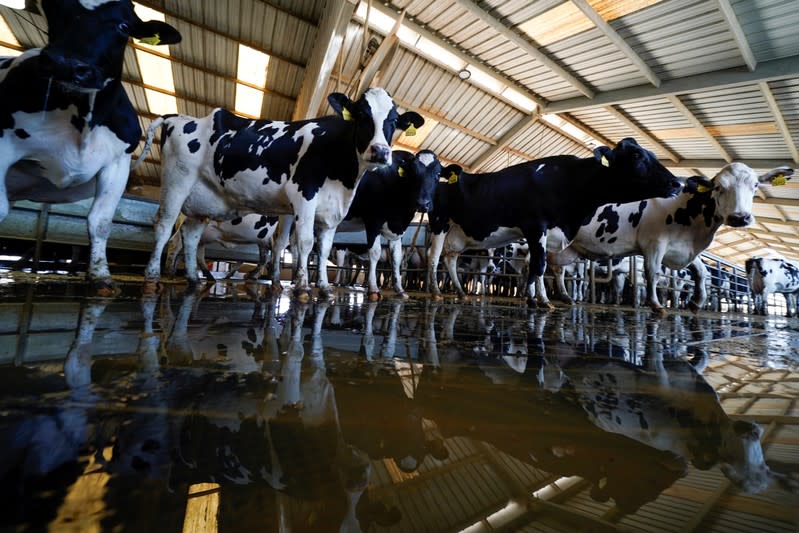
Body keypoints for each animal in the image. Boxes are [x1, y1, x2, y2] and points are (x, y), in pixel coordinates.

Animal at [0, 0, 180, 294]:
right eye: (53, 9)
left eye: (123, 26)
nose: (66, 65)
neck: (83, 119)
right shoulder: (4, 144)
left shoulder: (117, 163)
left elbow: (101, 222)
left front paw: (101, 278)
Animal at [332, 149, 440, 300]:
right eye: (413, 173)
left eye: (438, 174)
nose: (423, 204)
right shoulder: (373, 221)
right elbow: (374, 253)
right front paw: (373, 289)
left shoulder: (397, 229)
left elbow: (396, 258)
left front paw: (400, 290)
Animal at [428, 137, 680, 304]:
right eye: (637, 156)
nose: (677, 183)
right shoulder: (535, 226)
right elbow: (538, 265)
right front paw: (533, 301)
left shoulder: (550, 232)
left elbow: (540, 266)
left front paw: (542, 299)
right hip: (439, 224)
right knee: (434, 257)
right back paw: (435, 291)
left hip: (457, 234)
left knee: (450, 258)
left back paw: (460, 291)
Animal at [552, 162, 792, 312]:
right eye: (718, 187)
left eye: (755, 185)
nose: (740, 217)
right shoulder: (654, 243)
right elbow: (653, 273)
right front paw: (656, 305)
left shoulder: (683, 249)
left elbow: (702, 272)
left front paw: (697, 302)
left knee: (555, 270)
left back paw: (558, 298)